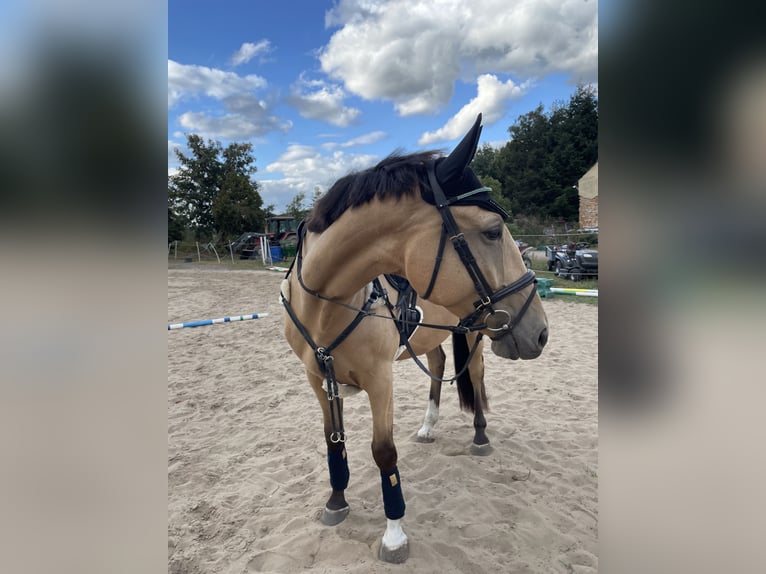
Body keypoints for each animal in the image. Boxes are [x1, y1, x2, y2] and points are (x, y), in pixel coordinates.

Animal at [284, 115, 548, 564]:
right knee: (440, 365)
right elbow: (334, 442)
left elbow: (383, 452)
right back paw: (428, 426)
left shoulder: (380, 380)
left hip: (476, 333)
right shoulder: (319, 380)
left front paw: (394, 534)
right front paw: (337, 501)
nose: (541, 331)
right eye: (494, 232)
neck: (325, 305)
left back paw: (480, 436)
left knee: (476, 378)